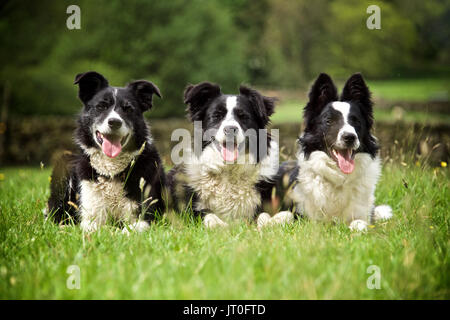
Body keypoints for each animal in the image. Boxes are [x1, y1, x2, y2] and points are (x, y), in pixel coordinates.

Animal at [46, 72, 165, 232]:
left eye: (128, 109)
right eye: (101, 106)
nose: (114, 122)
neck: (111, 171)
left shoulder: (147, 217)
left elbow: (128, 230)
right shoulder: (89, 216)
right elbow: (93, 229)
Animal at [169, 82, 282, 228]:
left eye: (243, 117)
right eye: (216, 116)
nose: (230, 129)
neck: (228, 170)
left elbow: (265, 215)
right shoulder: (190, 212)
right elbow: (208, 215)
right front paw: (220, 225)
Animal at [258, 72, 392, 230]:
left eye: (356, 121)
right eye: (329, 121)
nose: (350, 137)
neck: (338, 179)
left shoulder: (362, 213)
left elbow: (359, 223)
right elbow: (287, 216)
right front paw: (269, 221)